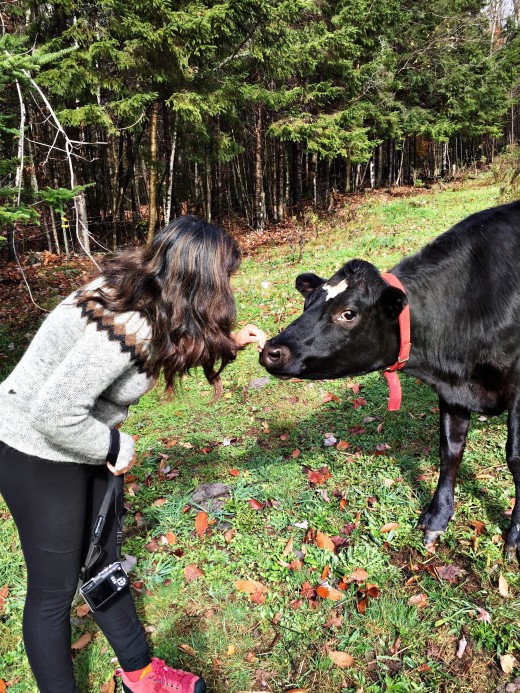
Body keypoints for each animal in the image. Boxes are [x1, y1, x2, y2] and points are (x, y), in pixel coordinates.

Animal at [259, 200, 520, 558]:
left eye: (349, 313)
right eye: (308, 302)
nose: (271, 350)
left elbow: (516, 457)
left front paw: (515, 536)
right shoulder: (453, 391)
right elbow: (450, 450)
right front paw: (437, 518)